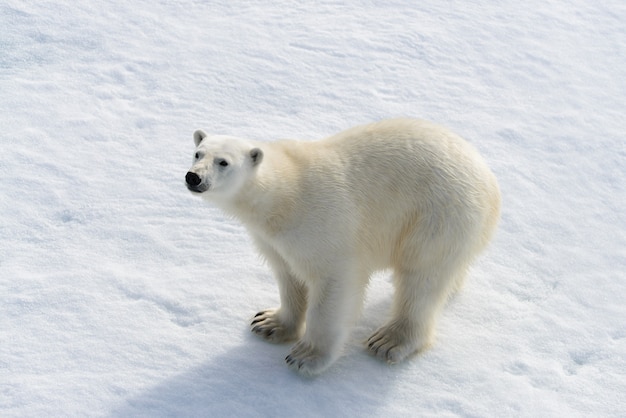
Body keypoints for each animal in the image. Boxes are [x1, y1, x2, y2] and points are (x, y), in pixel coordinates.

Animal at [184, 117, 498, 376]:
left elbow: (334, 286)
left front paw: (306, 356)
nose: (193, 176)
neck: (283, 196)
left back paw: (389, 340)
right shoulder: (272, 240)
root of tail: (490, 184)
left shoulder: (324, 227)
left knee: (422, 279)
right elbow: (288, 276)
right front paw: (269, 323)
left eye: (223, 162)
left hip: (437, 215)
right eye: (198, 153)